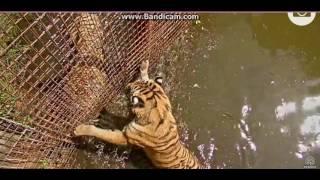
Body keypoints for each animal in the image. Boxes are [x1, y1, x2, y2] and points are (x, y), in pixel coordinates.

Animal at [74, 60, 202, 169]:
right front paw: (144, 68)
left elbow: (102, 133)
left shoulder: (124, 138)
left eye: (130, 89)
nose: (127, 85)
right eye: (136, 82)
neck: (159, 108)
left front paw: (80, 129)